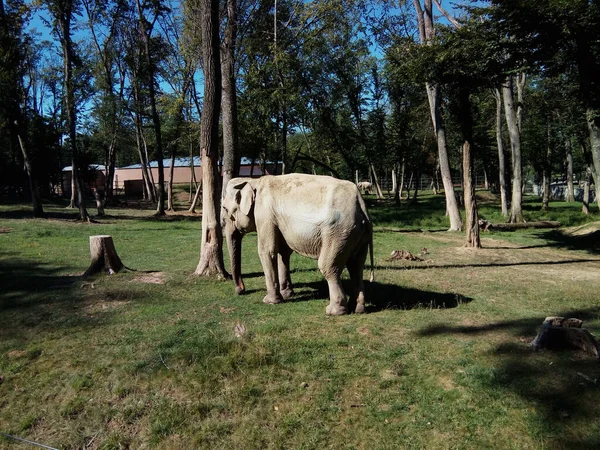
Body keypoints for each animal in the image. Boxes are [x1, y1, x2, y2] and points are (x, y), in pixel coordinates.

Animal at [224, 173, 376, 316]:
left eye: (225, 209)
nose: (241, 290)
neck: (254, 180)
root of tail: (360, 202)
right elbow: (283, 252)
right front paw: (287, 295)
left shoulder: (264, 215)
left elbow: (267, 251)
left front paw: (269, 301)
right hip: (357, 234)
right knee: (356, 265)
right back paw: (358, 309)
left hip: (338, 232)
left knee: (328, 266)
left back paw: (333, 311)